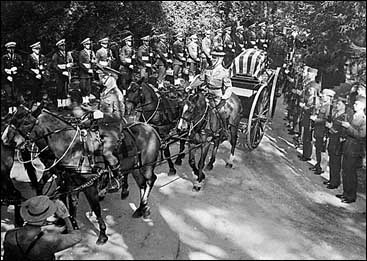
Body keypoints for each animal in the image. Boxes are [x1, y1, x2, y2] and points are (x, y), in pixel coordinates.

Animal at [1, 103, 161, 244]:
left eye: (26, 122)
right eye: (12, 118)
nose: (5, 139)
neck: (74, 148)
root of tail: (150, 128)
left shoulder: (88, 186)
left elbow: (96, 208)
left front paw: (102, 234)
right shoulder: (71, 184)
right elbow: (71, 206)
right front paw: (71, 227)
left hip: (147, 166)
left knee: (151, 180)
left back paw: (142, 205)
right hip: (135, 168)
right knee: (142, 184)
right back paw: (139, 208)